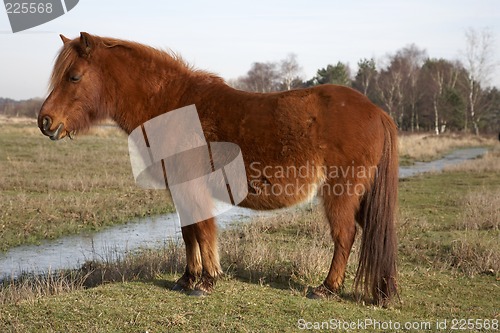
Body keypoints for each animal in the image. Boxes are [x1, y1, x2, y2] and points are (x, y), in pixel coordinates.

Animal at [38, 32, 398, 304]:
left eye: (74, 76)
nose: (45, 122)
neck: (172, 106)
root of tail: (377, 111)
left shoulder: (192, 187)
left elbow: (203, 230)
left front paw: (208, 280)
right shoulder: (179, 191)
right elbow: (188, 233)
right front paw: (187, 278)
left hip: (341, 193)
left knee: (345, 235)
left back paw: (326, 288)